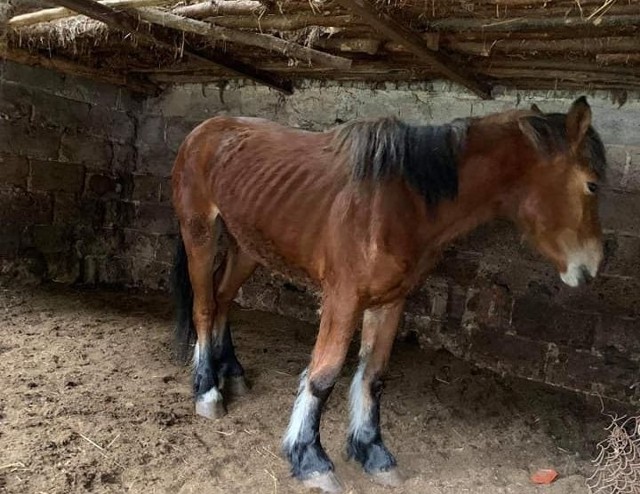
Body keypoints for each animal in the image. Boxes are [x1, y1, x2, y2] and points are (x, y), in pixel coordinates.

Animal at [170, 95, 604, 490]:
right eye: (592, 184)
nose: (593, 266)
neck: (400, 203)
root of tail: (203, 131)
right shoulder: (343, 299)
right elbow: (323, 375)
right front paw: (310, 459)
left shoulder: (392, 300)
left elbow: (374, 375)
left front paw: (373, 452)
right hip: (200, 233)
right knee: (204, 306)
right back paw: (207, 391)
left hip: (248, 246)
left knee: (223, 300)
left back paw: (231, 372)